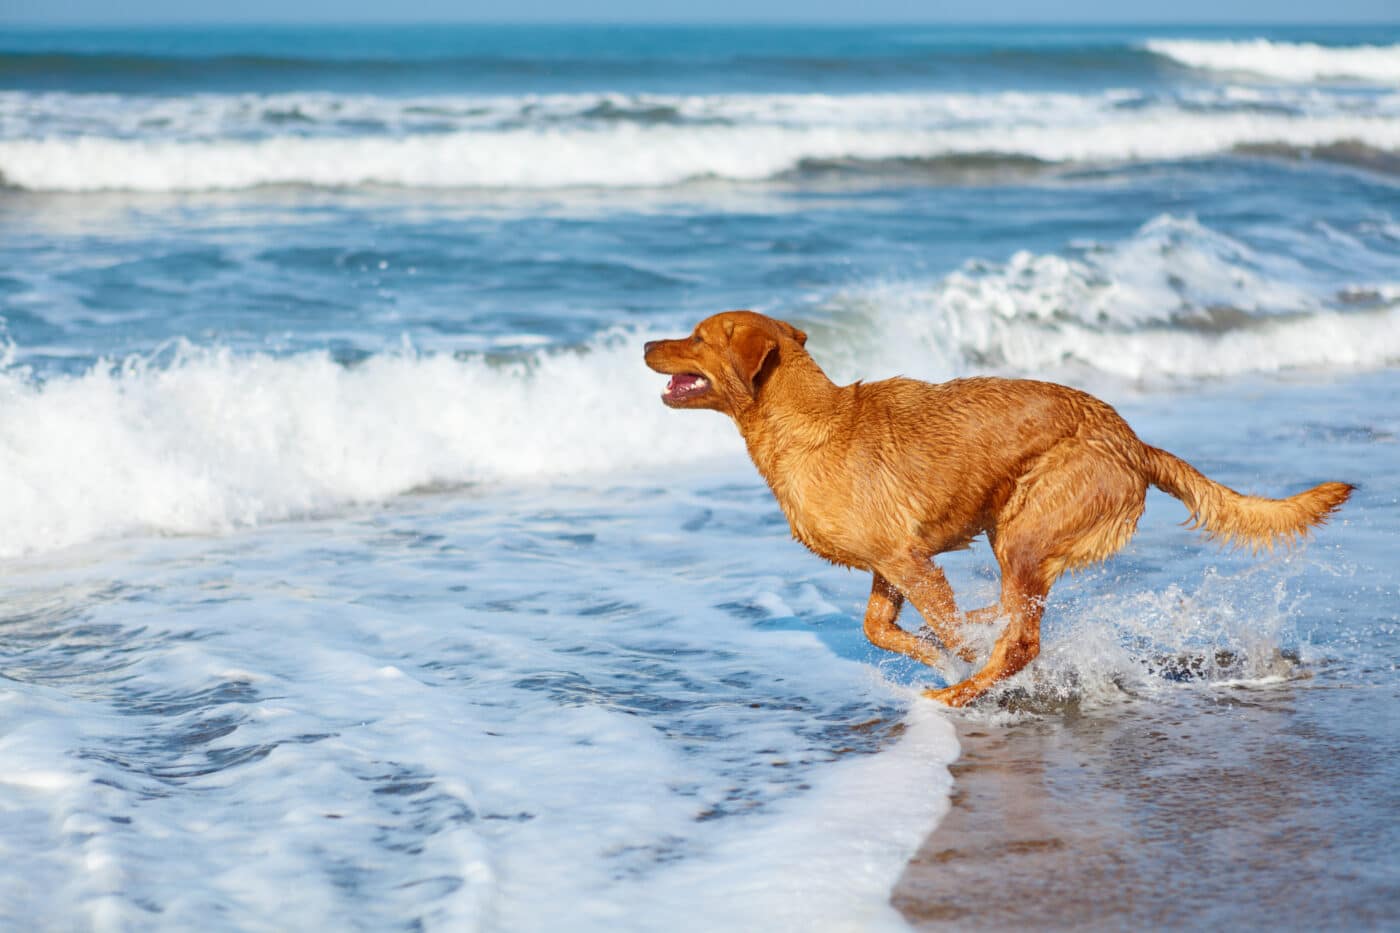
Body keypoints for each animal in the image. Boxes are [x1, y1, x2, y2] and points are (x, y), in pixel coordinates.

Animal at [646, 308, 1355, 700]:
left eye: (696, 337)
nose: (647, 343)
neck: (810, 422)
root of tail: (1133, 442)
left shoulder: (907, 561)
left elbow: (944, 627)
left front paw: (953, 656)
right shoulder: (890, 564)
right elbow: (883, 628)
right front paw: (934, 650)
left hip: (1025, 530)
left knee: (1023, 641)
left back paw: (959, 693)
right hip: (1013, 530)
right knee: (1017, 616)